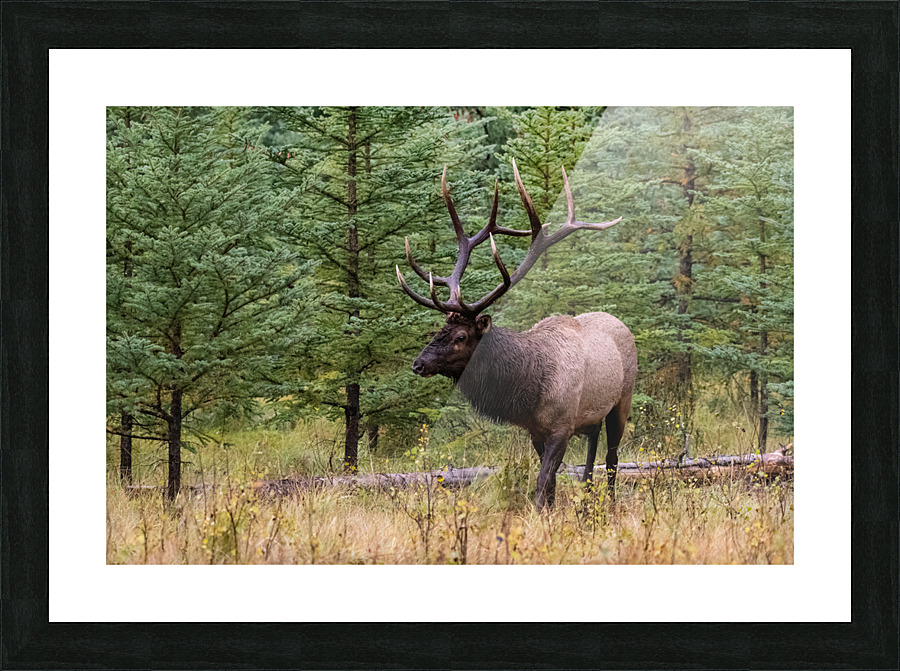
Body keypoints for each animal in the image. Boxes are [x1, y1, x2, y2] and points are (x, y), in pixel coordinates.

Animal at [396, 159, 637, 509]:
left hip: (623, 399)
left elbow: (542, 480)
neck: (530, 391)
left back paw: (609, 503)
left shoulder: (562, 426)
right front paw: (550, 512)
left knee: (612, 458)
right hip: (592, 416)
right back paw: (586, 503)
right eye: (441, 328)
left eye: (461, 337)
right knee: (592, 455)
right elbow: (550, 482)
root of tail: (621, 323)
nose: (419, 364)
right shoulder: (535, 431)